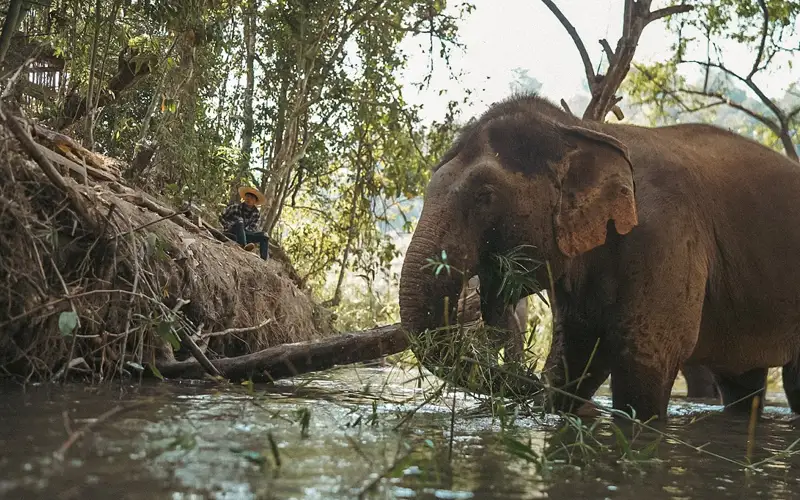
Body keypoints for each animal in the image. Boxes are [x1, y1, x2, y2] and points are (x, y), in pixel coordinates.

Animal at [398, 93, 800, 421]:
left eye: (485, 196)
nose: (525, 378)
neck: (584, 130)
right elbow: (573, 357)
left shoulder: (666, 234)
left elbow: (644, 365)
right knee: (742, 385)